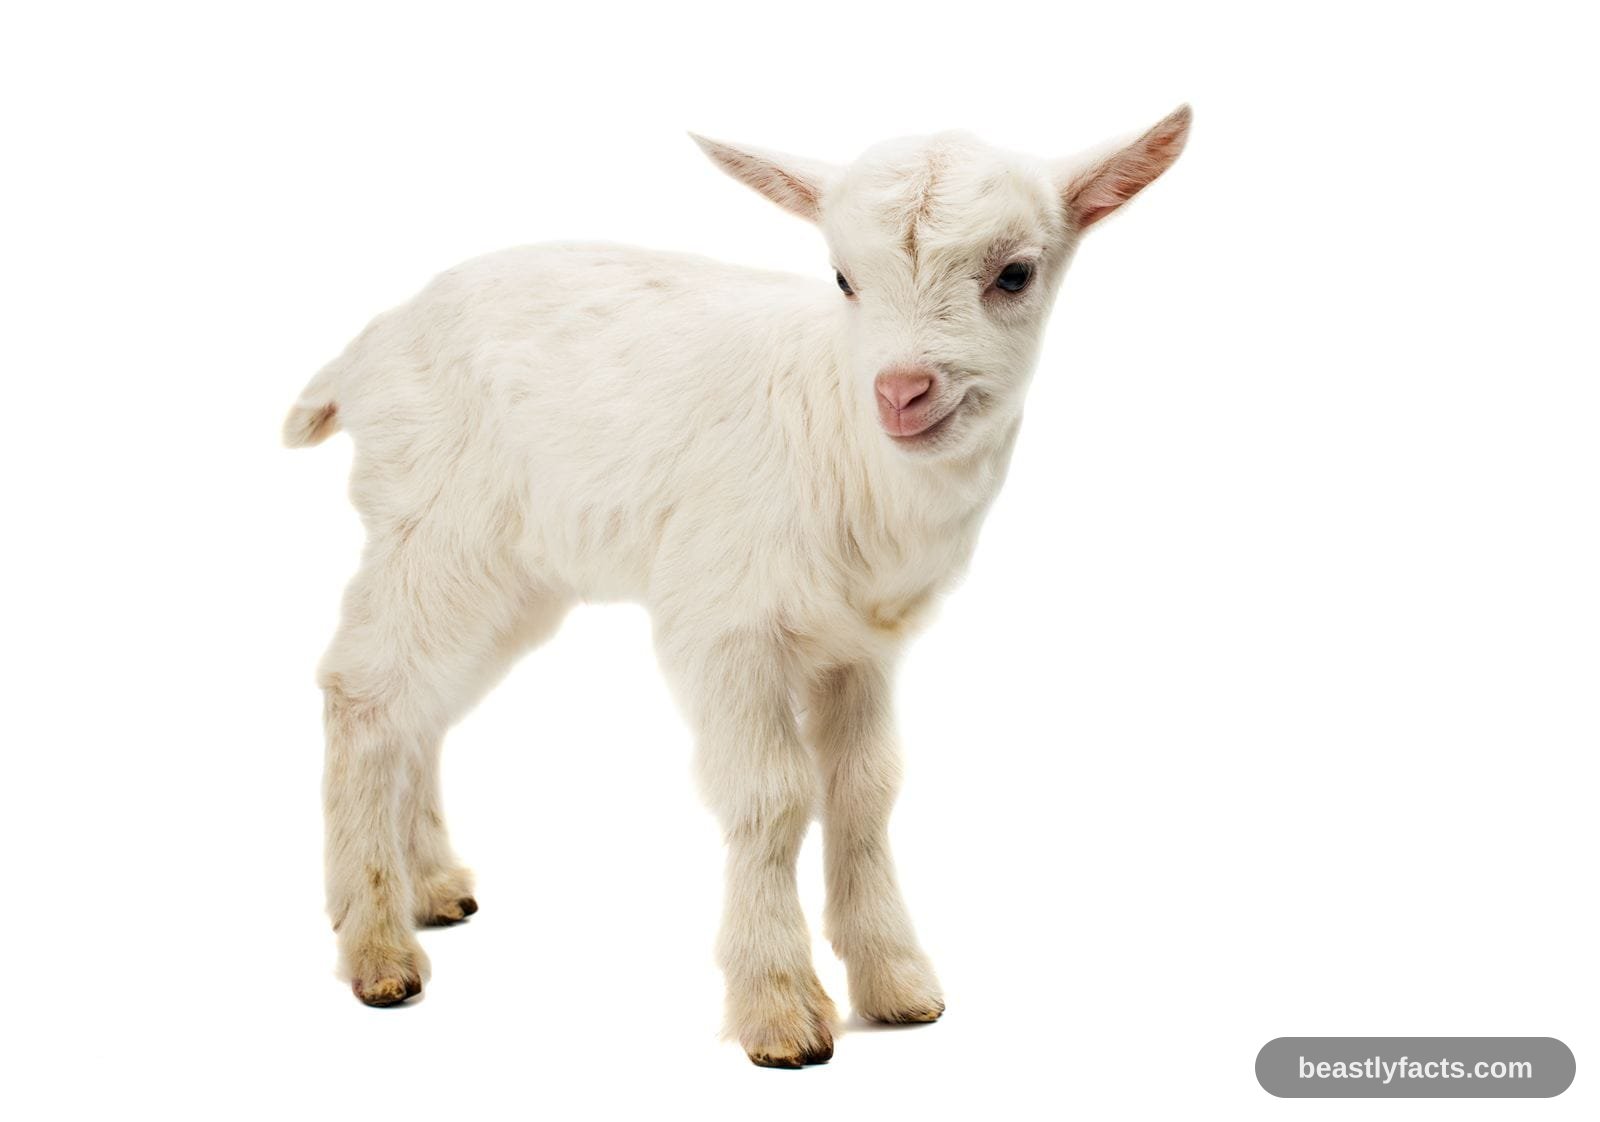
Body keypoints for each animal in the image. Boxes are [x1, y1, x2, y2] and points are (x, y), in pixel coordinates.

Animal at [284, 107, 1190, 1067]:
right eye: (843, 278)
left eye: (1015, 273)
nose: (901, 392)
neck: (845, 440)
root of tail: (366, 350)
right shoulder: (724, 622)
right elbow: (773, 795)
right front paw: (781, 1011)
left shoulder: (860, 647)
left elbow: (865, 789)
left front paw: (896, 984)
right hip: (437, 528)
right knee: (362, 689)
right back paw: (378, 948)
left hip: (512, 574)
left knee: (419, 704)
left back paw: (432, 889)